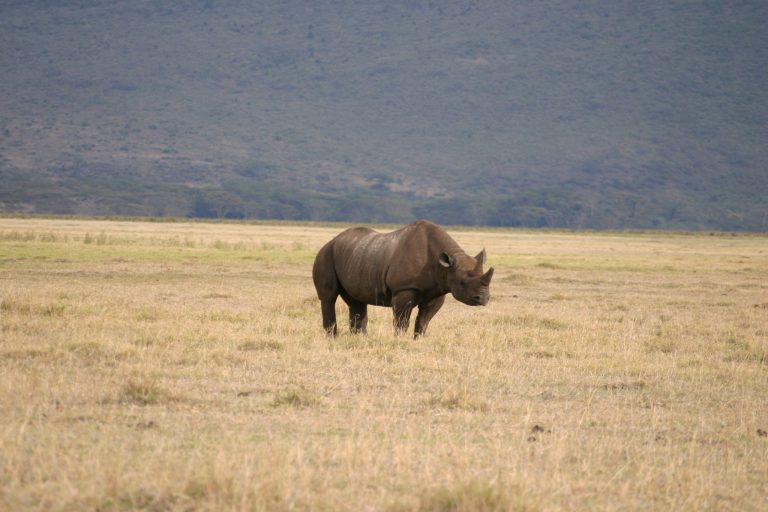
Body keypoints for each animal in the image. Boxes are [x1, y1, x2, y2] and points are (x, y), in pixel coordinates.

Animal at [312, 220, 494, 337]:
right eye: (462, 283)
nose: (483, 298)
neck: (445, 266)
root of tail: (332, 241)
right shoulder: (404, 288)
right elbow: (402, 320)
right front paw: (399, 339)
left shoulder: (438, 289)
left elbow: (424, 320)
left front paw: (418, 340)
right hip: (325, 255)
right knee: (328, 298)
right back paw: (332, 338)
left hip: (356, 256)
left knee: (356, 300)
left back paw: (359, 338)